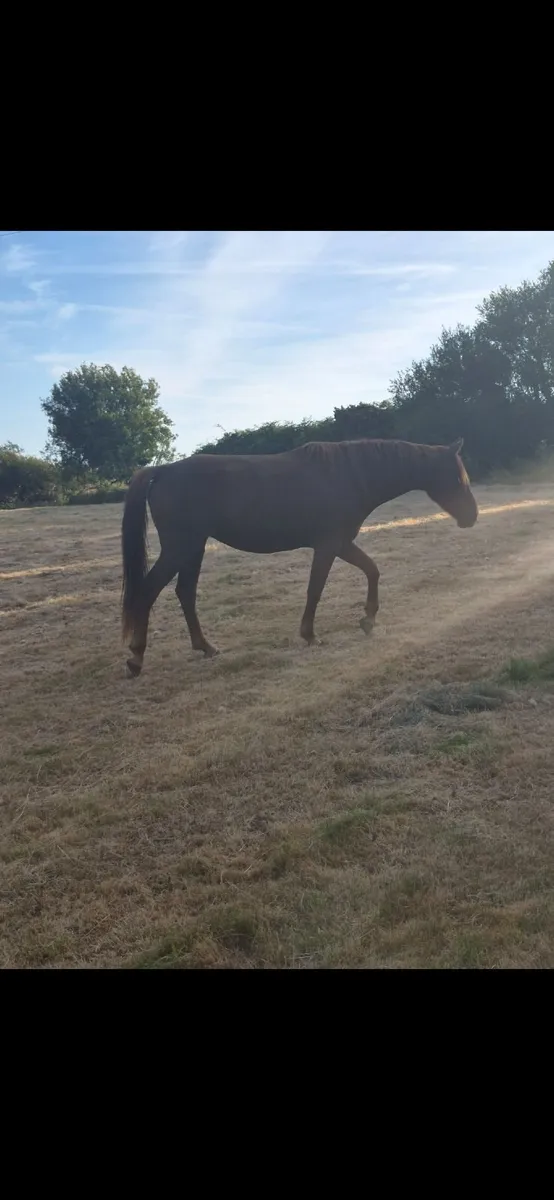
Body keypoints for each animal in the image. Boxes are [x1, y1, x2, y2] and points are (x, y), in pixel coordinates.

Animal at [121, 436, 478, 677]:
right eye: (457, 478)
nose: (472, 517)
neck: (349, 476)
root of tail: (164, 470)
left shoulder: (342, 543)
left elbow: (372, 570)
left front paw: (368, 620)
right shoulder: (329, 545)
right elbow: (316, 589)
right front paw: (310, 635)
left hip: (193, 549)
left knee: (185, 593)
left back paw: (206, 647)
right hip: (180, 548)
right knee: (148, 592)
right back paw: (136, 658)